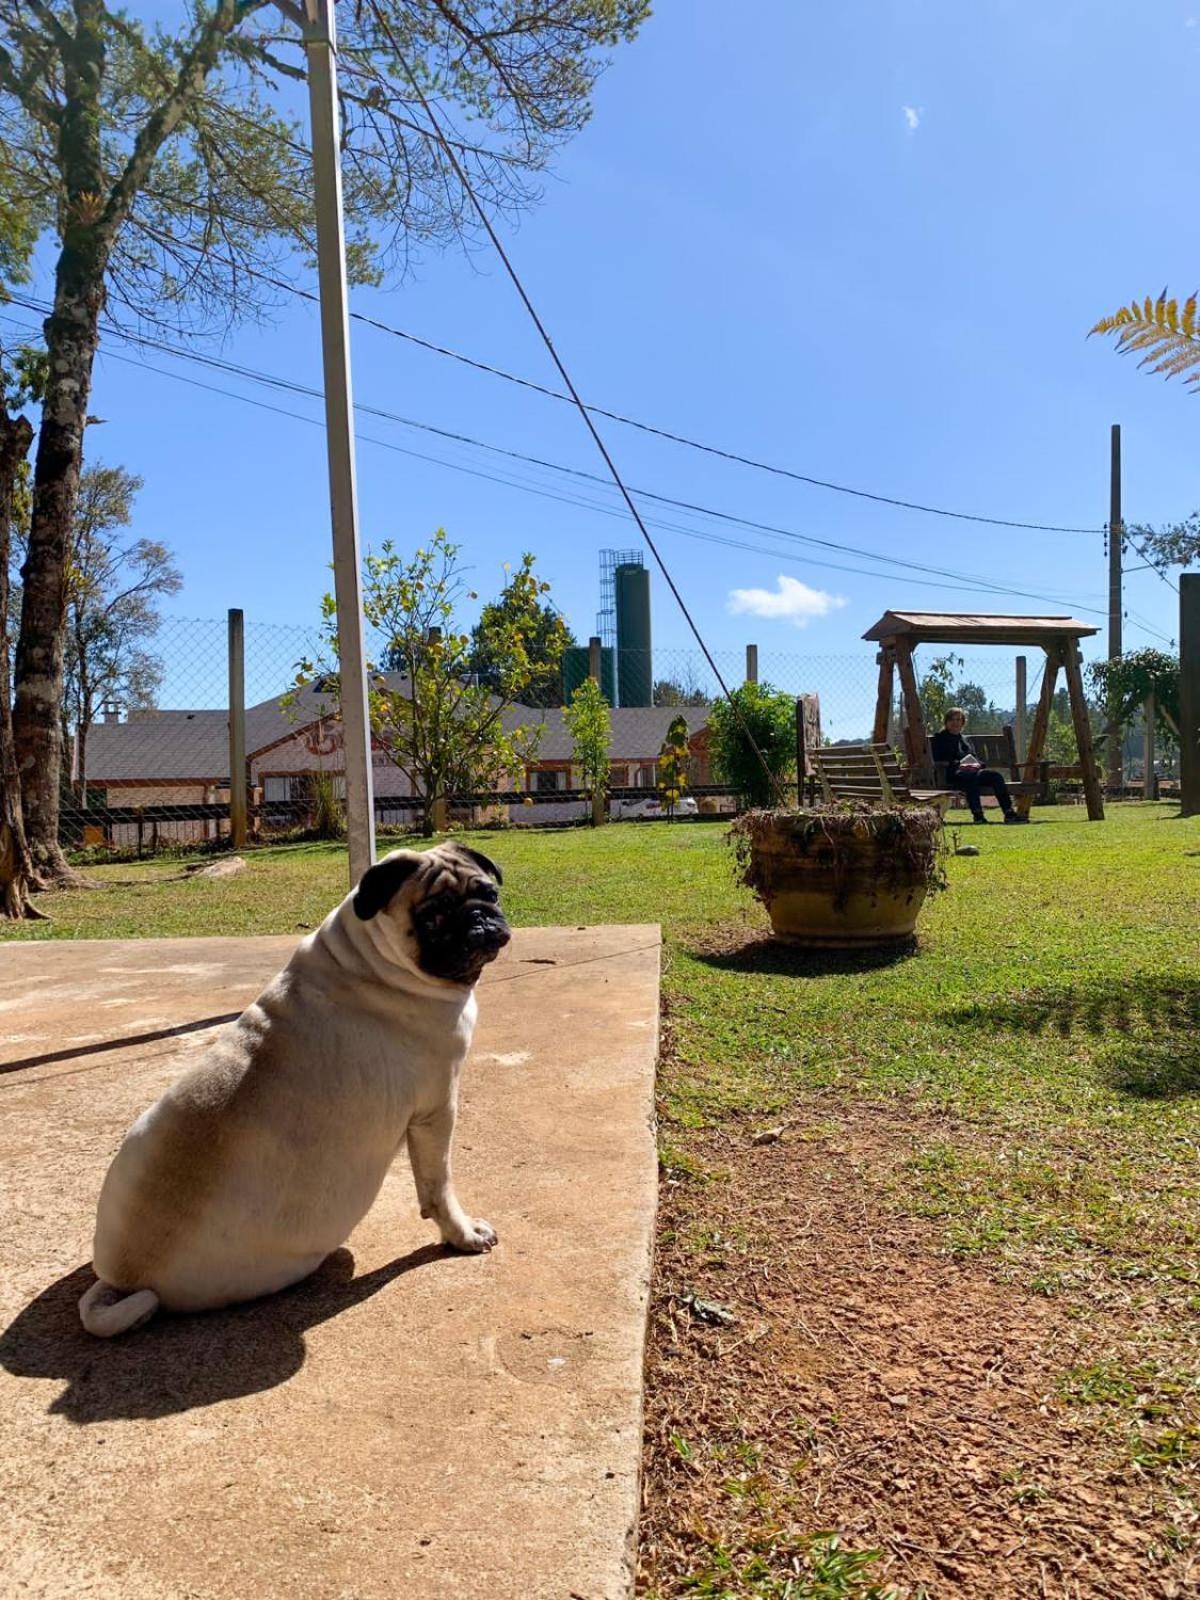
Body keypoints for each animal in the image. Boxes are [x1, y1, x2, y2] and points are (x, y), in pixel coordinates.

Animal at [78, 838, 512, 1337]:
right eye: (433, 917)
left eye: (490, 894)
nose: (481, 917)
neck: (372, 960)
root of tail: (126, 1279)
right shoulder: (437, 1108)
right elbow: (438, 1186)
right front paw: (462, 1235)